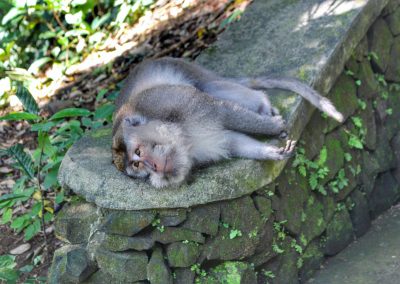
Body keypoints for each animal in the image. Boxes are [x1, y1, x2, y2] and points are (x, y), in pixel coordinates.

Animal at [112, 57, 344, 189]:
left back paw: (262, 102)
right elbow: (231, 141)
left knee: (211, 87)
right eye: (137, 165)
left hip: (188, 70)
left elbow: (223, 113)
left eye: (138, 153)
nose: (153, 166)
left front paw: (274, 127)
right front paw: (270, 152)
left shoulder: (169, 101)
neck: (180, 135)